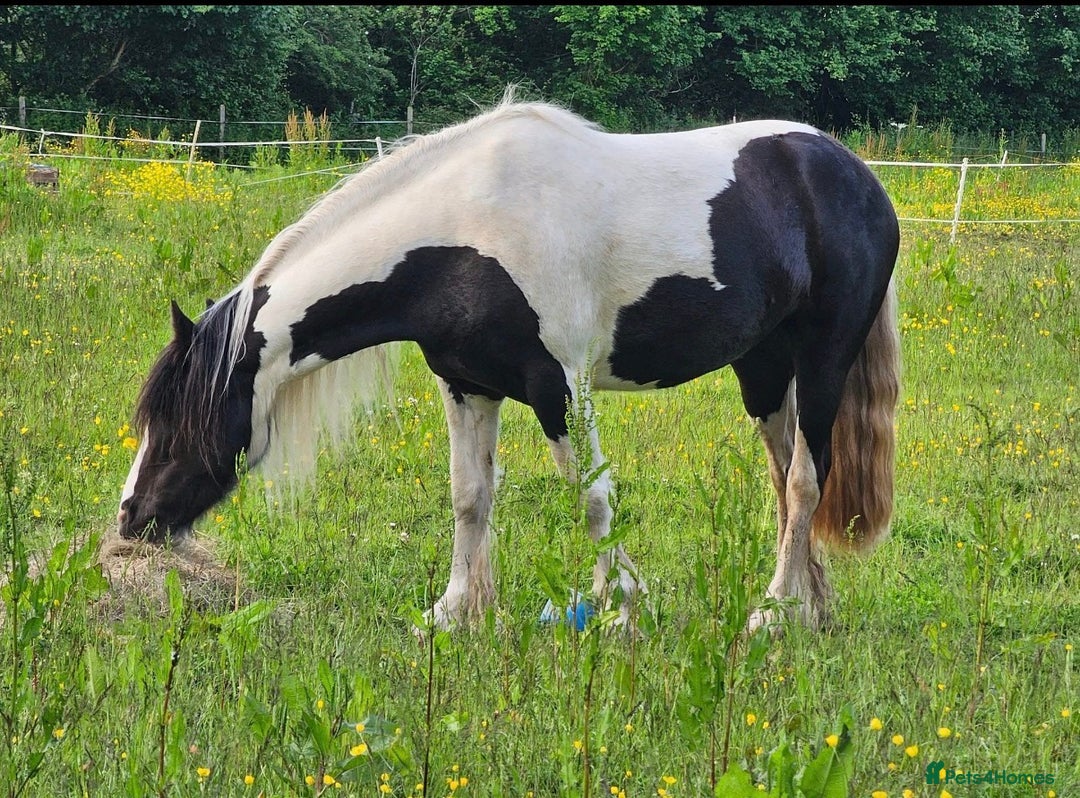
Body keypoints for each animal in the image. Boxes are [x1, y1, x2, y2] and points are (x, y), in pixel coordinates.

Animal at [117, 94, 901, 635]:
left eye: (178, 423)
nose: (131, 520)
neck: (462, 236)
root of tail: (854, 174)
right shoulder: (467, 387)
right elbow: (470, 497)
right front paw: (455, 611)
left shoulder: (560, 389)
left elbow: (592, 496)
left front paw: (622, 610)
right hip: (762, 369)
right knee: (787, 479)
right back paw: (808, 607)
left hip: (823, 359)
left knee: (806, 478)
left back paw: (770, 615)